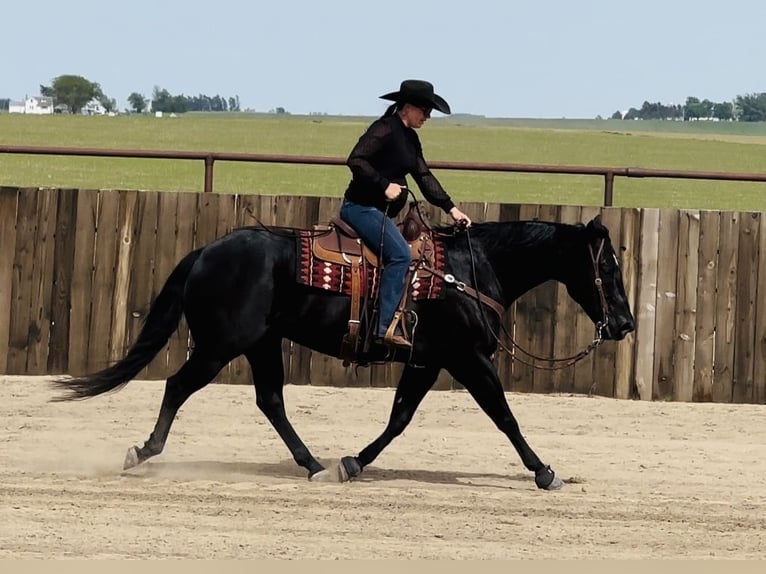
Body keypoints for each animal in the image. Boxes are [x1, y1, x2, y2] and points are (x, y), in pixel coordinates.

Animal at [52, 207, 636, 490]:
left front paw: (352, 463)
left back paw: (313, 464)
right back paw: (143, 452)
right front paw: (545, 472)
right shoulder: (468, 358)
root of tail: (206, 251)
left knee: (271, 400)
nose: (626, 324)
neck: (466, 271)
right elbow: (505, 417)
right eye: (606, 268)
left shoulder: (428, 361)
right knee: (179, 385)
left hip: (262, 343)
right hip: (222, 345)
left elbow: (399, 418)